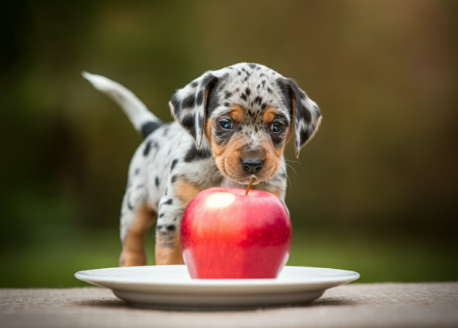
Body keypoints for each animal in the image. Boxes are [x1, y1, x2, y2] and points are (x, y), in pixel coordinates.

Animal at [83, 62, 322, 266]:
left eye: (277, 126)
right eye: (225, 123)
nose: (253, 164)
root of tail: (156, 129)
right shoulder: (172, 210)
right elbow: (169, 258)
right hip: (134, 208)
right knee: (131, 248)